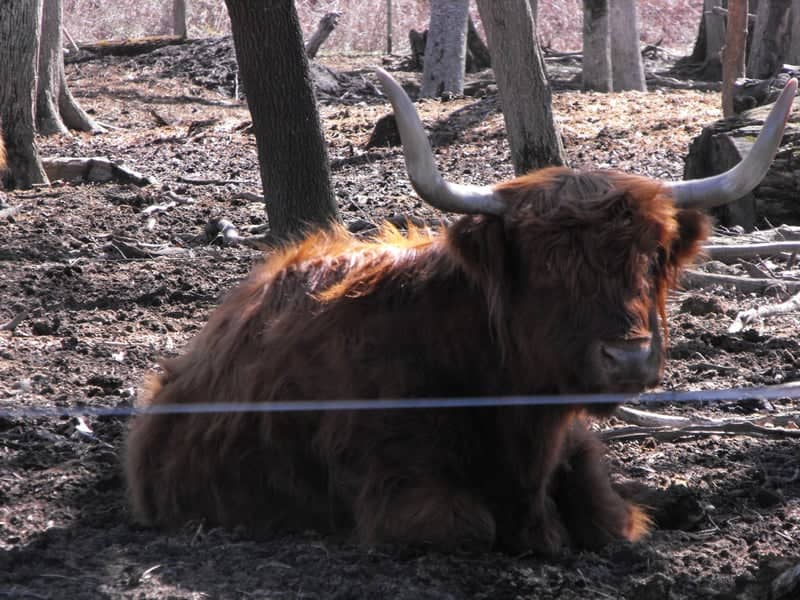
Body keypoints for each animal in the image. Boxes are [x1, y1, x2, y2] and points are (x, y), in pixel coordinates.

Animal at [124, 70, 797, 554]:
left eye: (652, 256)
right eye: (546, 263)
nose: (628, 358)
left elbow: (611, 517)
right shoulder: (395, 482)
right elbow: (473, 525)